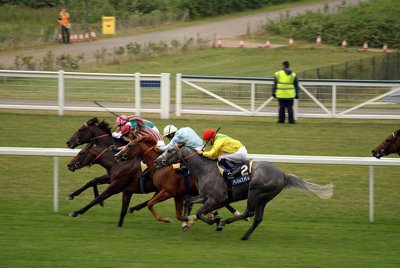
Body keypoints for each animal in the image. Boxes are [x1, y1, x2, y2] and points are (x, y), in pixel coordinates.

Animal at [154, 146, 334, 242]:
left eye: (170, 150)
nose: (156, 161)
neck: (205, 169)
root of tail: (283, 174)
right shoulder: (205, 196)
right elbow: (189, 201)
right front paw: (186, 221)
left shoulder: (216, 198)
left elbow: (199, 213)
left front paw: (212, 221)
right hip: (264, 198)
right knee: (258, 218)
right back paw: (245, 236)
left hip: (255, 192)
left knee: (249, 213)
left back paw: (226, 222)